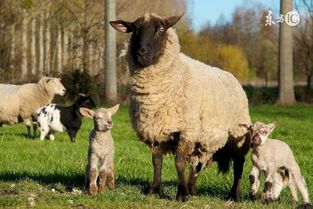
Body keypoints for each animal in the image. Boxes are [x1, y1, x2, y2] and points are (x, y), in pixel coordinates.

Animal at [110, 12, 251, 201]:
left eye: (161, 29)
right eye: (134, 29)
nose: (142, 53)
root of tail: (233, 78)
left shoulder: (186, 130)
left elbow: (179, 162)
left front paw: (181, 194)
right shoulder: (155, 130)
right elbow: (156, 161)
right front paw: (155, 190)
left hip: (238, 133)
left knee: (239, 165)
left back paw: (233, 195)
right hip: (203, 139)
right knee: (197, 165)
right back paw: (192, 189)